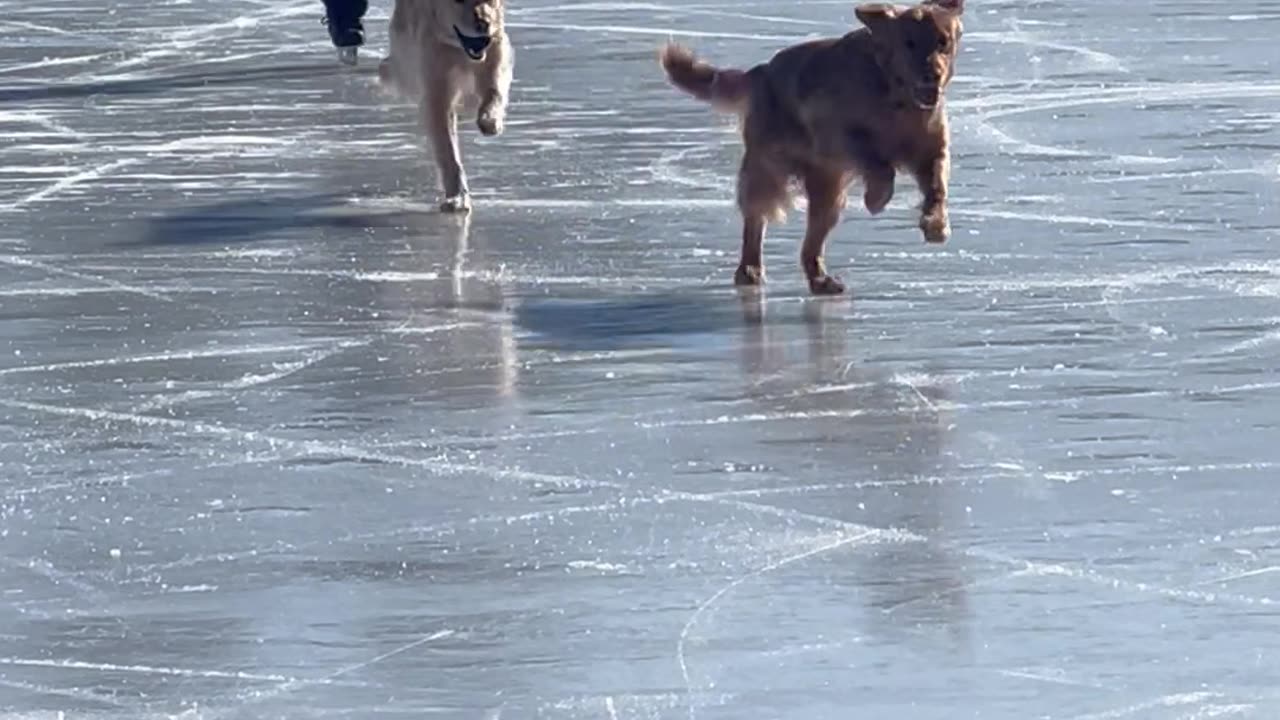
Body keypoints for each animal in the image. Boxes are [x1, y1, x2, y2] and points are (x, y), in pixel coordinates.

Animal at [378, 0, 514, 211]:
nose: (484, 24)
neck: (457, 49)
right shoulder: (437, 93)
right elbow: (448, 152)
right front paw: (457, 196)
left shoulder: (494, 57)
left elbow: (494, 93)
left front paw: (490, 121)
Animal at [655, 0, 962, 293]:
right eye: (909, 43)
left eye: (943, 42)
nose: (933, 74)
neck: (895, 96)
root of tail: (761, 71)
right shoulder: (834, 132)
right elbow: (877, 162)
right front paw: (876, 197)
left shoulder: (933, 150)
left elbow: (937, 187)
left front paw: (937, 224)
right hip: (769, 169)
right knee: (755, 220)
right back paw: (749, 269)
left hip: (827, 195)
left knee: (810, 246)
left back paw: (821, 280)